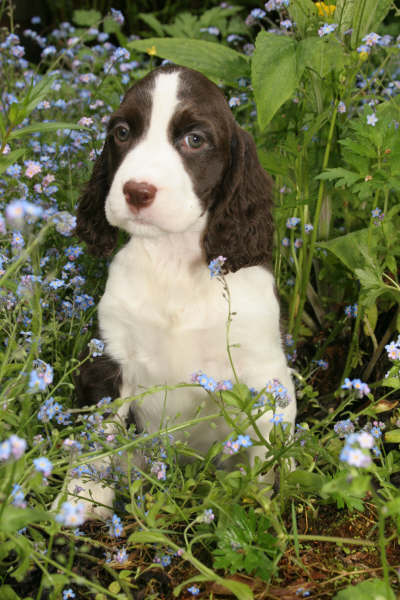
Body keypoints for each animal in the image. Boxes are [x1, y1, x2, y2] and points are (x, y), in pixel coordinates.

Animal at [65, 63, 296, 516]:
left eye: (195, 140)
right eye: (122, 132)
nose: (136, 191)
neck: (172, 261)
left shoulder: (264, 373)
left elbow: (264, 455)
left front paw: (260, 506)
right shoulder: (111, 359)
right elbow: (99, 431)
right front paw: (80, 493)